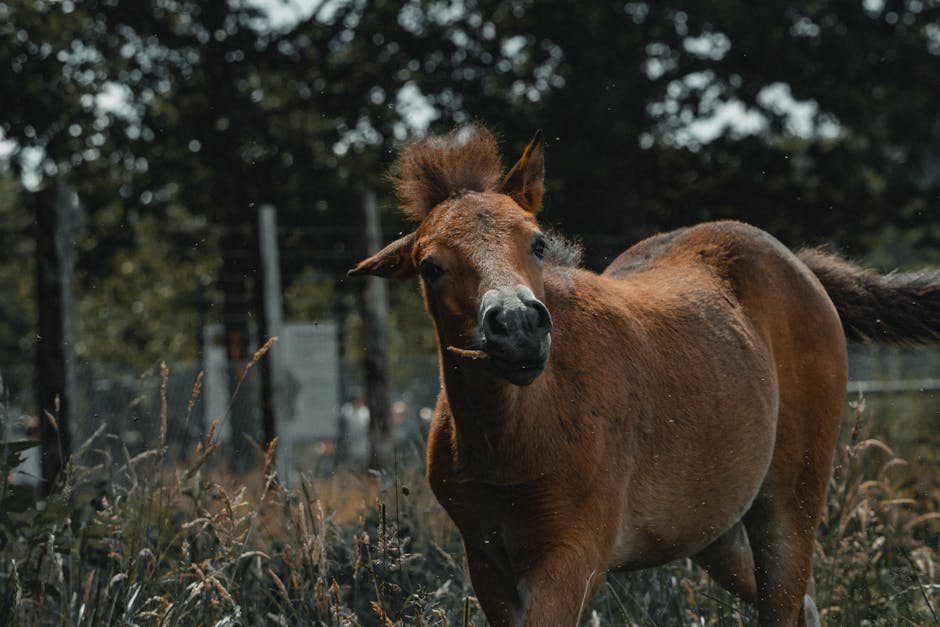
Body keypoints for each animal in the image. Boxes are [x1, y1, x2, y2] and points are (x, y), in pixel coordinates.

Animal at [346, 125, 940, 624]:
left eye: (537, 242)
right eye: (430, 266)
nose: (517, 326)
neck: (517, 430)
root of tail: (799, 266)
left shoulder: (572, 553)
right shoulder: (487, 561)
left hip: (790, 503)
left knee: (786, 599)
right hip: (715, 530)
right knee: (803, 604)